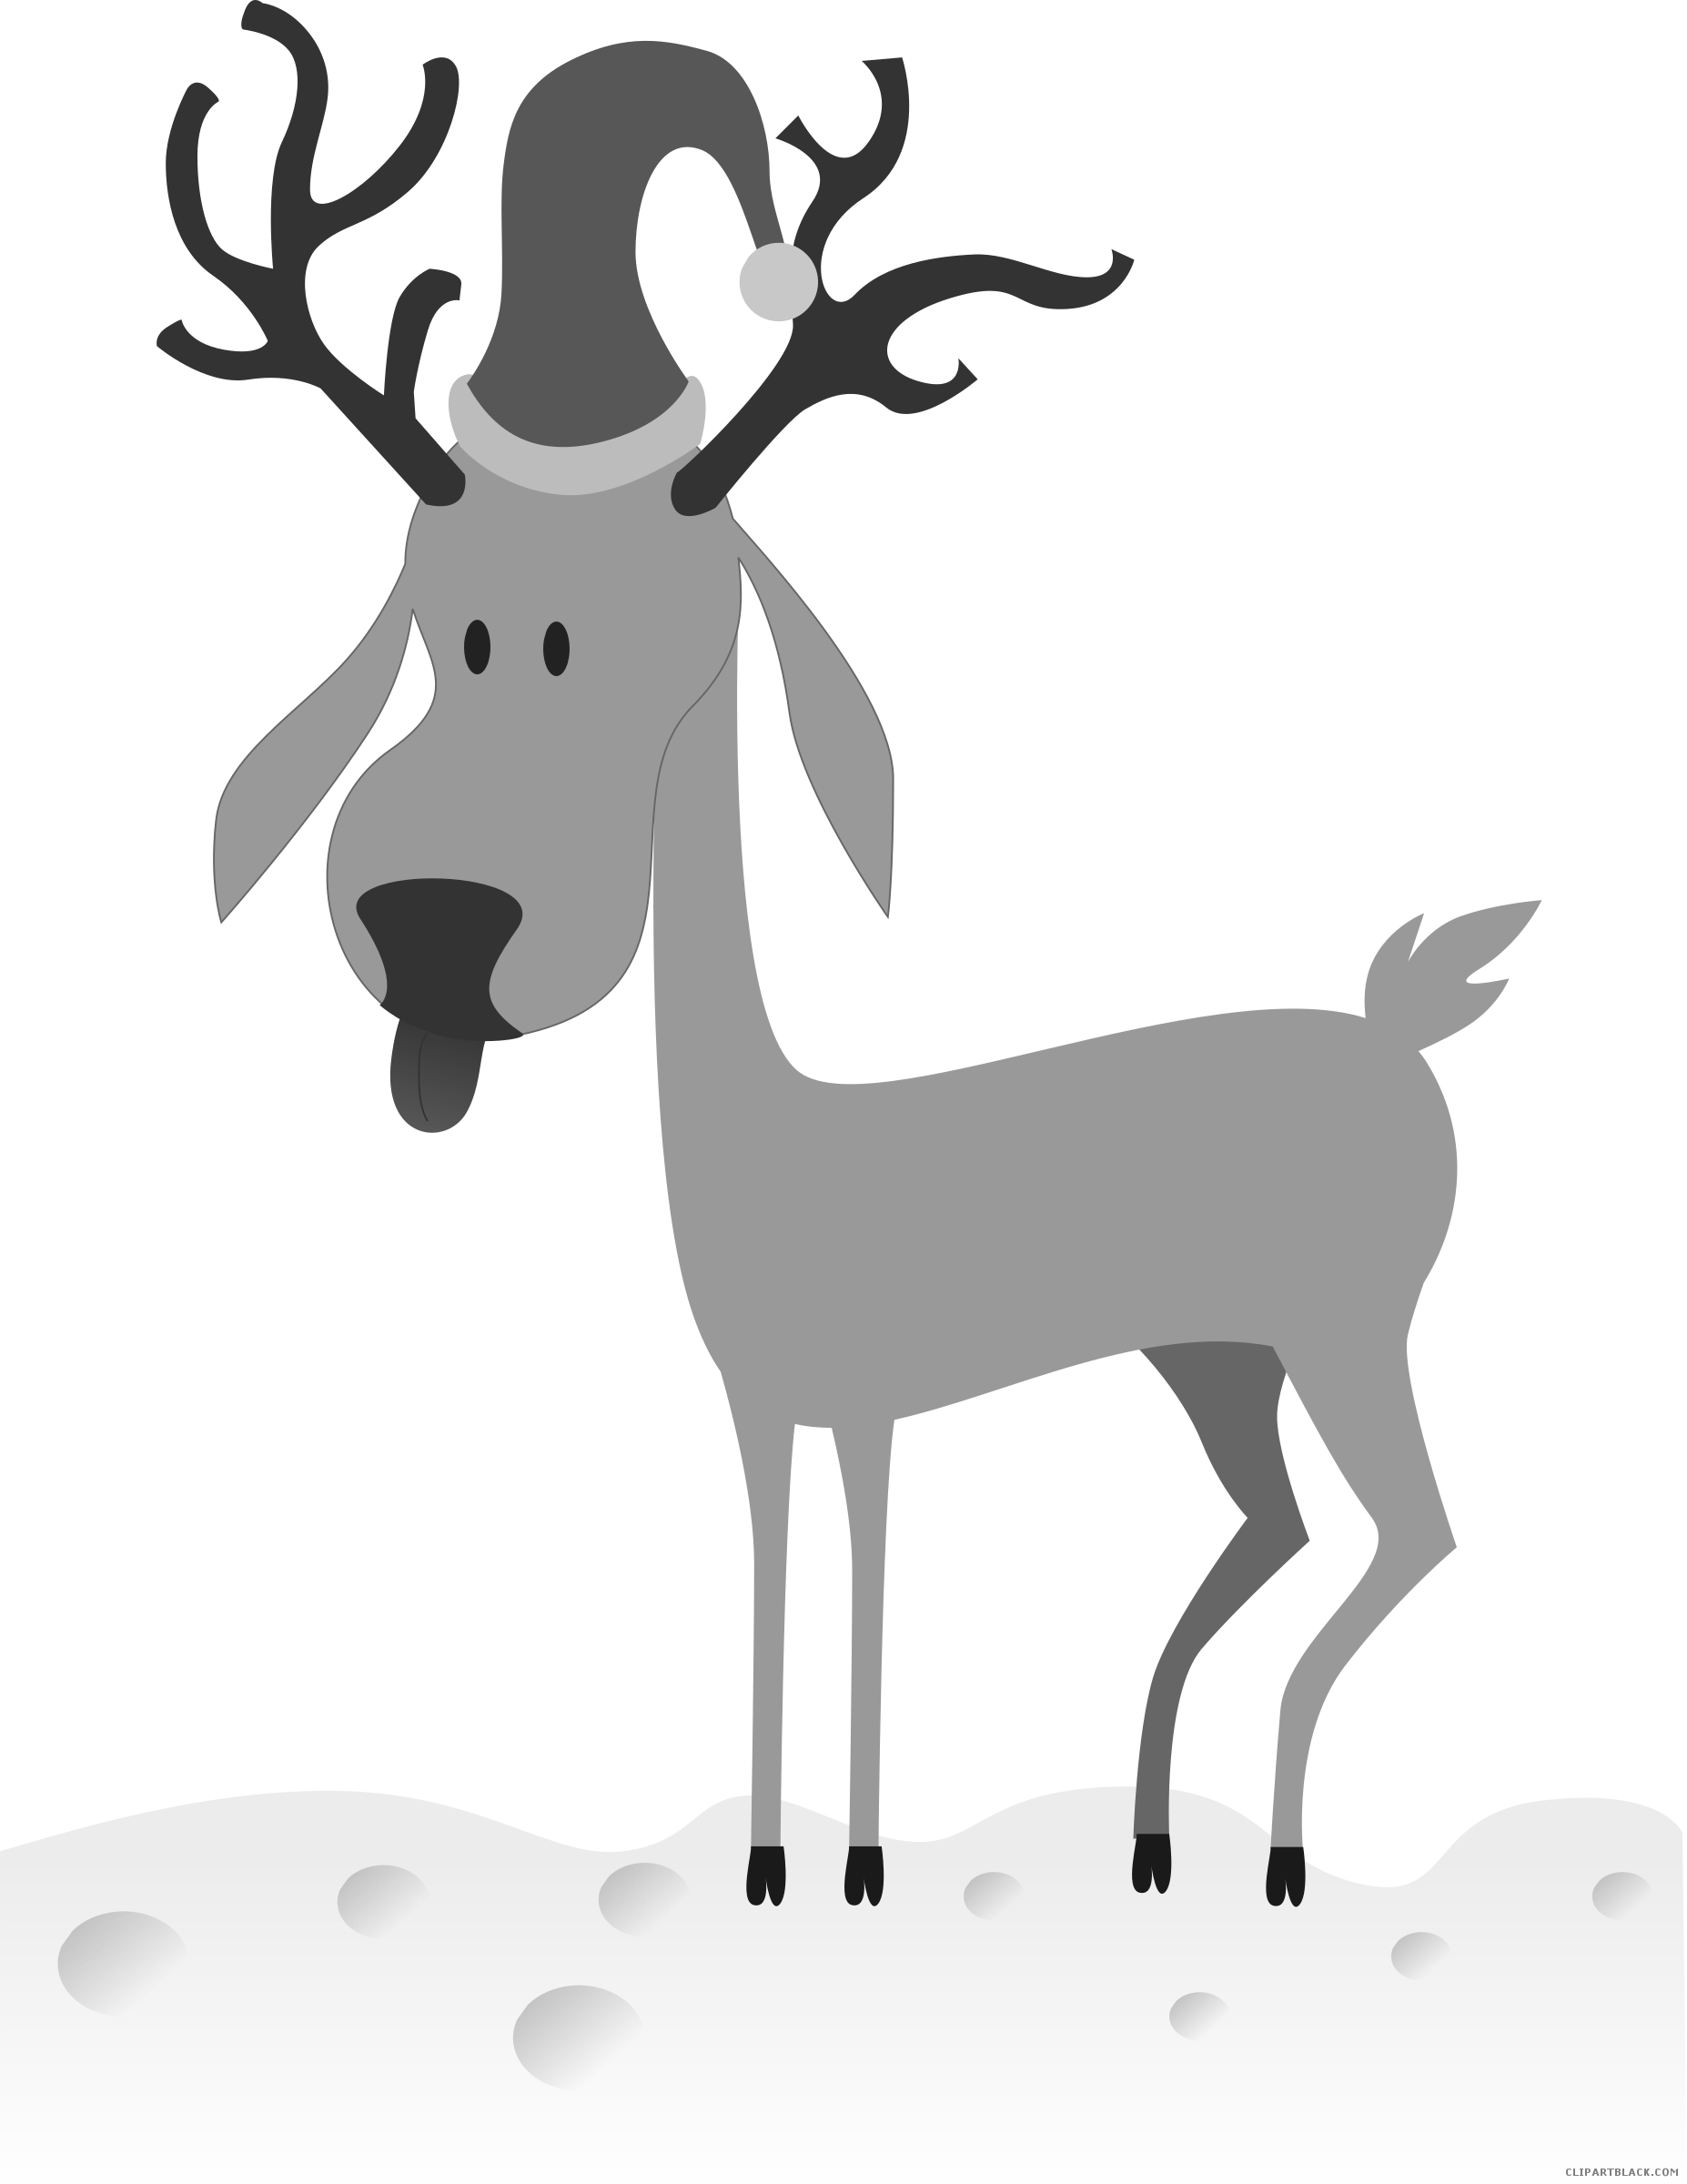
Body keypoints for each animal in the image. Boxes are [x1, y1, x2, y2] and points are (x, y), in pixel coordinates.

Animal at [162, 10, 1540, 1912]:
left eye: (637, 621)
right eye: (434, 619)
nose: (437, 926)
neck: (777, 1140)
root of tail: (1396, 1027)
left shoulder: (883, 1404)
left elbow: (871, 1576)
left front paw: (867, 1857)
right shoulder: (757, 1403)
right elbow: (761, 1571)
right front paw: (759, 1858)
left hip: (1347, 1327)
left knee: (1411, 1532)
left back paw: (1271, 1848)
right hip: (1213, 1357)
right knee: (1271, 1523)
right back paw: (1146, 1831)